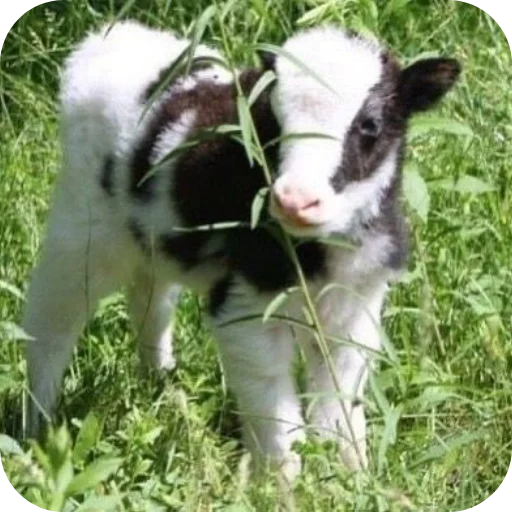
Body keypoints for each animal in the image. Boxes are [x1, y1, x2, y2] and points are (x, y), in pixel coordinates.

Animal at [23, 20, 460, 481]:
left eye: (370, 125)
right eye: (272, 120)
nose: (295, 200)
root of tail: (112, 38)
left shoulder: (358, 302)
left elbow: (340, 398)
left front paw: (350, 476)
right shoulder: (245, 305)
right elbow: (272, 405)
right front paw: (283, 484)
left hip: (152, 235)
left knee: (151, 301)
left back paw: (159, 384)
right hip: (82, 227)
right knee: (51, 323)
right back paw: (38, 429)